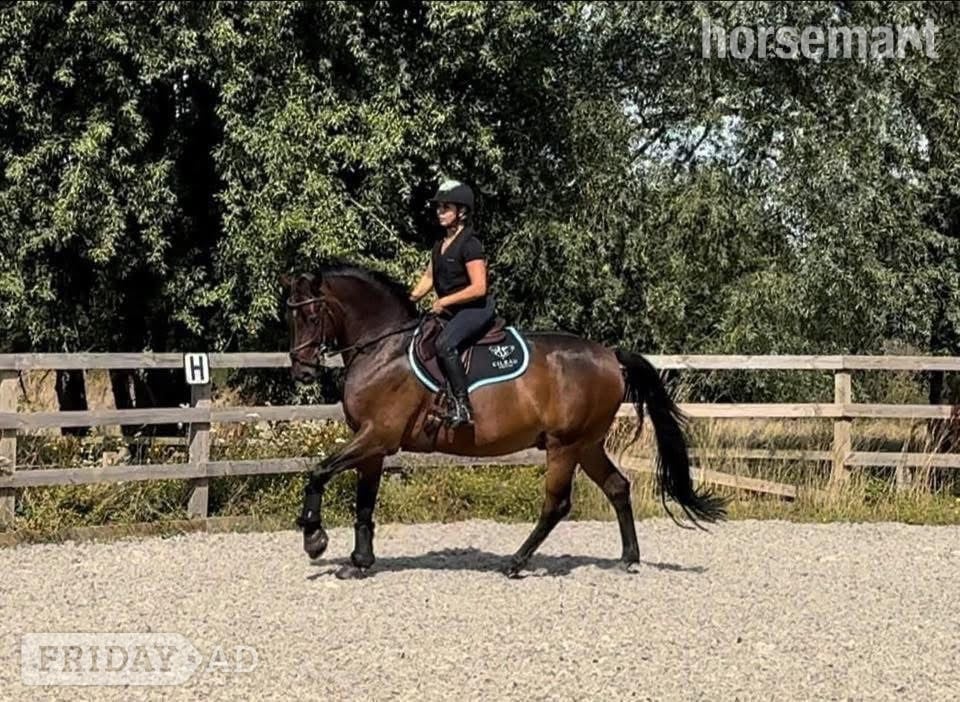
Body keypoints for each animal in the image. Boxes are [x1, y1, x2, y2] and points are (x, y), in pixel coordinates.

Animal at [281, 262, 727, 579]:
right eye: (292, 318)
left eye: (311, 315)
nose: (302, 371)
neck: (383, 348)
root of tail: (610, 356)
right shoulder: (372, 445)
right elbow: (364, 502)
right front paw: (358, 561)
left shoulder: (378, 437)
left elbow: (318, 472)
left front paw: (314, 538)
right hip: (587, 444)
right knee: (617, 487)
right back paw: (629, 558)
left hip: (564, 445)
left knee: (556, 503)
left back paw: (515, 563)